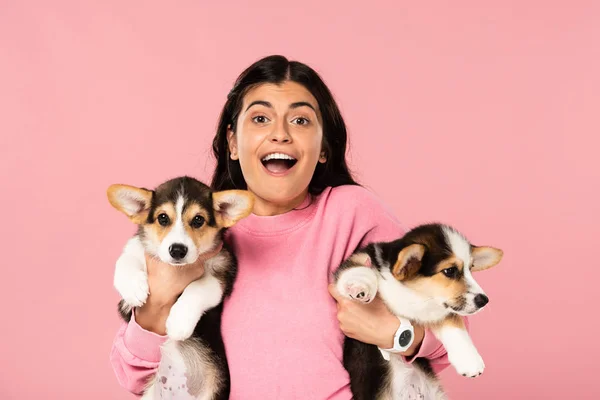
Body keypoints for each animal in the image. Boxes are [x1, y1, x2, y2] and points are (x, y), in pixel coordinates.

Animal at [108, 177, 253, 400]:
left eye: (198, 220)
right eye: (163, 218)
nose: (177, 250)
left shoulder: (220, 275)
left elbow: (196, 288)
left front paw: (178, 322)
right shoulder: (136, 249)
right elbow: (125, 261)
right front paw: (133, 291)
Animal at [332, 223, 502, 398]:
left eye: (470, 269)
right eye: (449, 271)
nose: (484, 300)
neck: (411, 293)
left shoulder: (435, 310)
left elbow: (454, 323)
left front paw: (470, 360)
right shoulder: (358, 259)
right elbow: (359, 270)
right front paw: (360, 287)